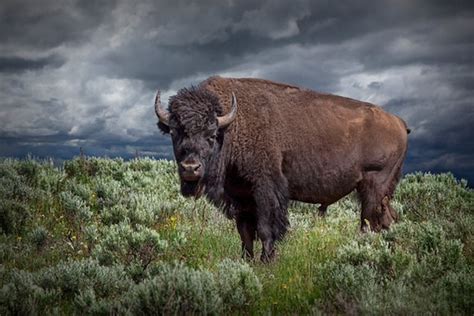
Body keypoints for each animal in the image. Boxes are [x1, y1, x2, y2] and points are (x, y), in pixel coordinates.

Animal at [154, 76, 410, 262]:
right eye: (175, 132)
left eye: (211, 134)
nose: (190, 168)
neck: (234, 126)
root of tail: (398, 121)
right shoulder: (241, 196)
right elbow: (245, 232)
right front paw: (247, 262)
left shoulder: (266, 190)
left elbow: (267, 228)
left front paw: (267, 262)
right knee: (386, 220)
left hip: (374, 186)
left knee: (373, 221)